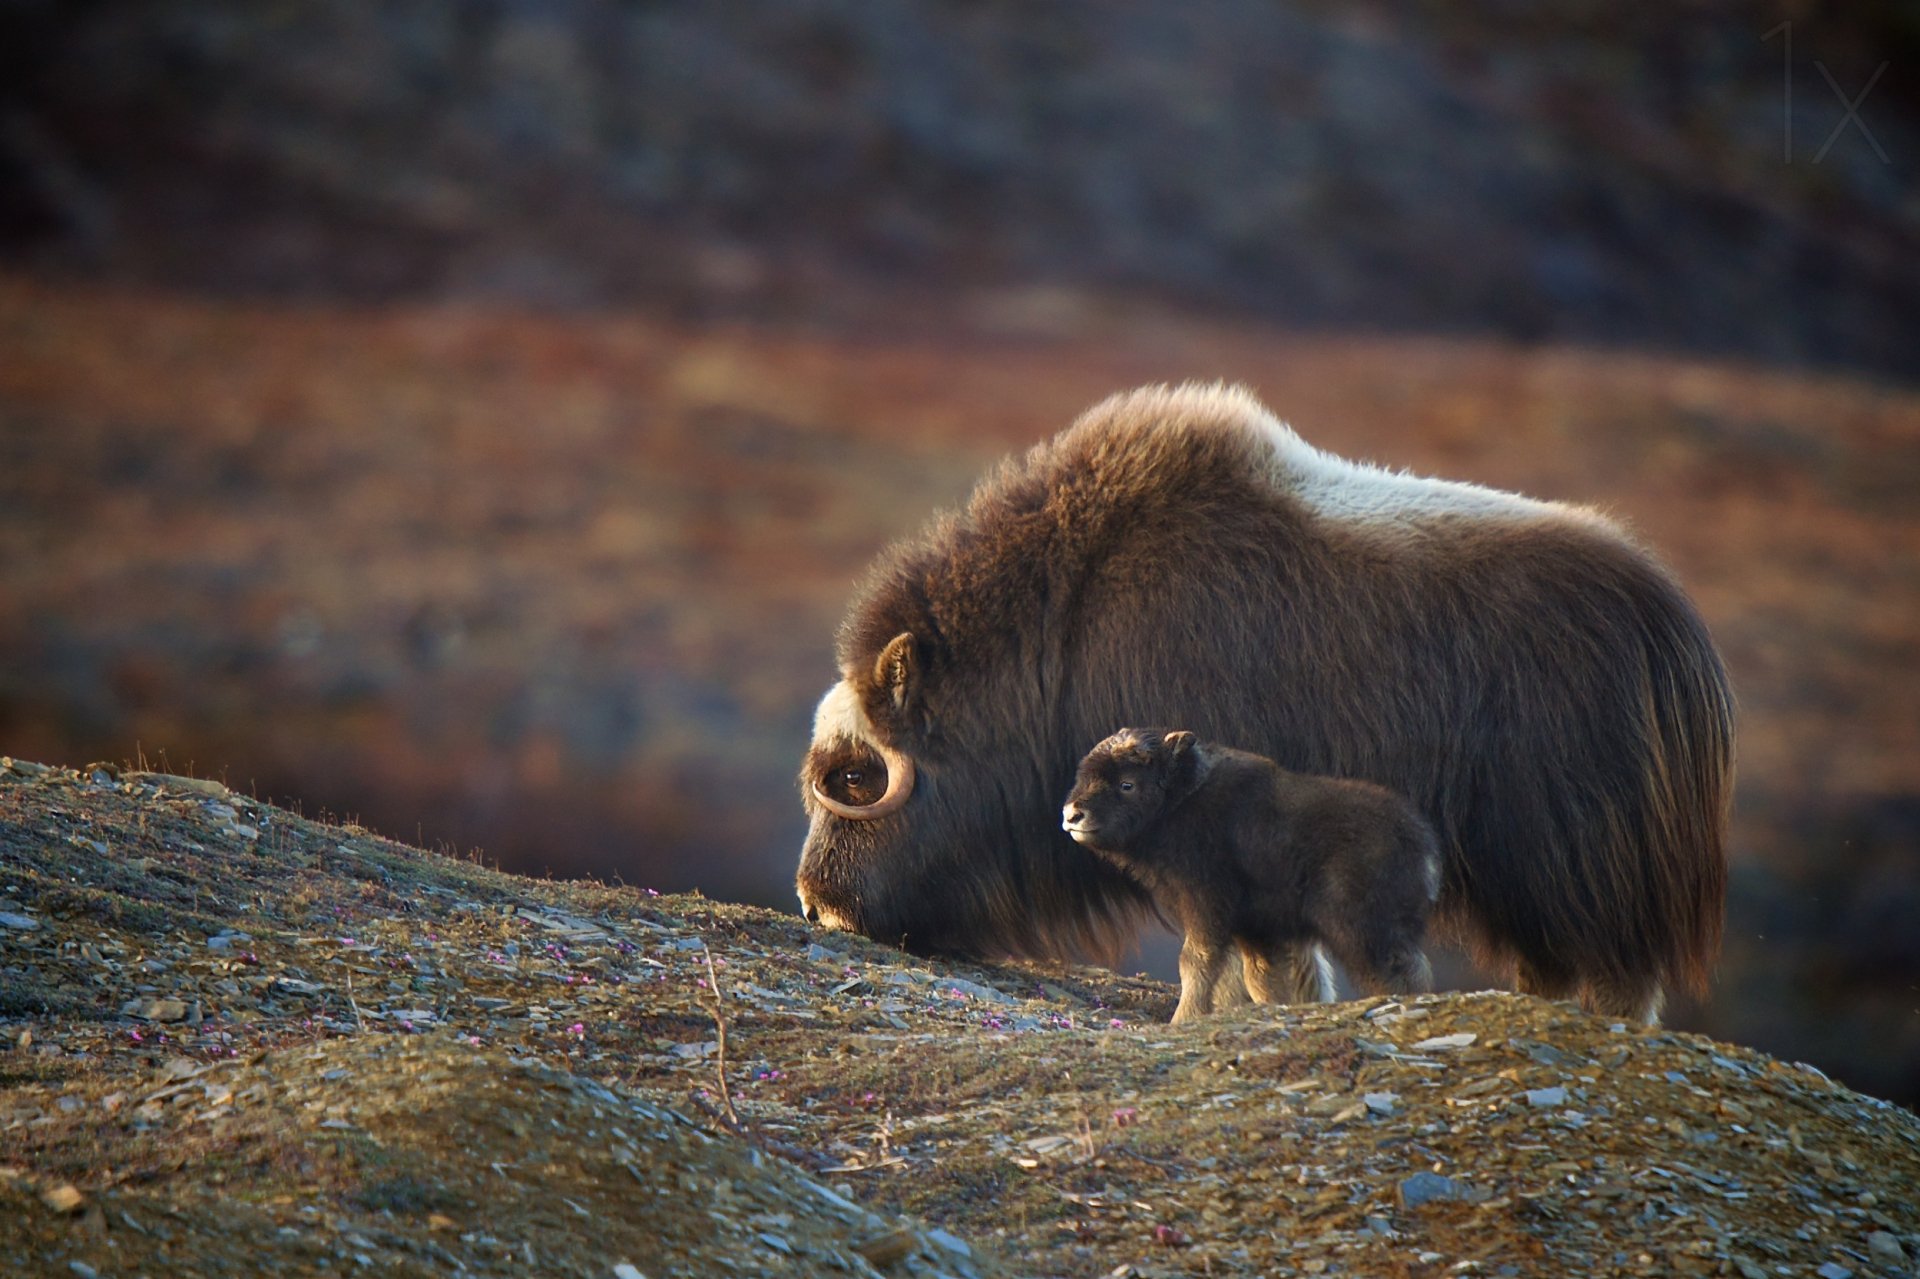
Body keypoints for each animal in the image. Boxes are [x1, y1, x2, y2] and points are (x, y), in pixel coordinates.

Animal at [1067, 725, 1443, 1013]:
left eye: (1127, 784)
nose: (1072, 815)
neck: (1181, 800)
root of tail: (1422, 845)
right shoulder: (1257, 929)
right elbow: (1261, 978)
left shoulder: (1207, 905)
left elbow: (1196, 962)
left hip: (1362, 931)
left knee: (1396, 972)